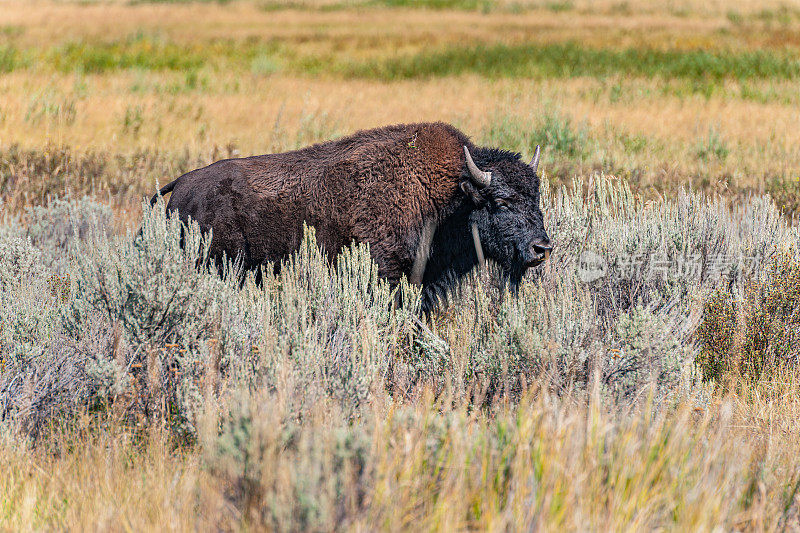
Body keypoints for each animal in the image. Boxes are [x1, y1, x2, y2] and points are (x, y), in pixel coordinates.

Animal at [150, 122, 552, 310]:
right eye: (500, 201)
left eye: (536, 197)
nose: (542, 248)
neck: (449, 197)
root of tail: (181, 186)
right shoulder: (388, 275)